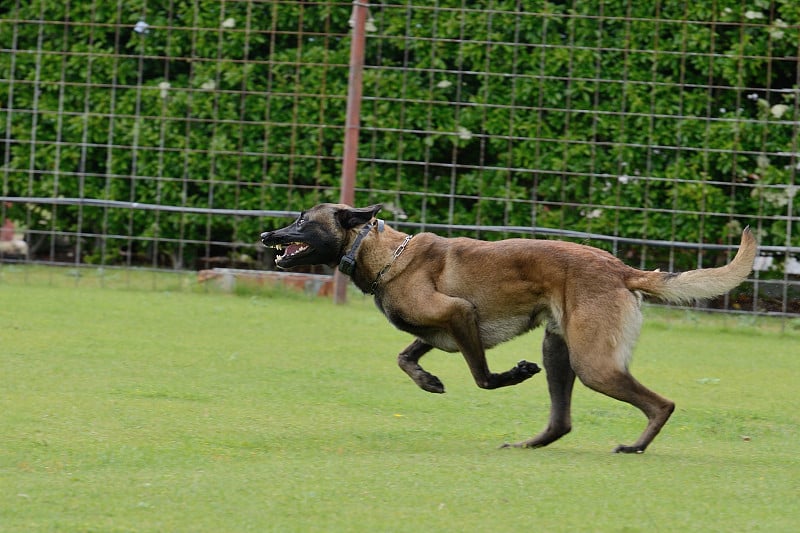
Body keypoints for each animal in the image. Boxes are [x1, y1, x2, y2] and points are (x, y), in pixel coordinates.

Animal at [260, 204, 756, 454]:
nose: (267, 236)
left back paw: (635, 447)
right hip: (559, 352)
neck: (382, 253)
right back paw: (529, 444)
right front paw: (427, 379)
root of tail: (622, 269)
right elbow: (404, 356)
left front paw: (511, 375)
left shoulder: (459, 314)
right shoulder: (440, 329)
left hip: (592, 363)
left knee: (661, 404)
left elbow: (483, 376)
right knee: (562, 421)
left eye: (301, 221)